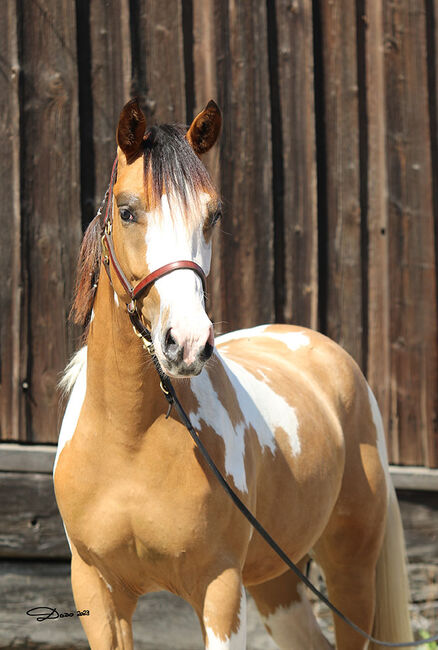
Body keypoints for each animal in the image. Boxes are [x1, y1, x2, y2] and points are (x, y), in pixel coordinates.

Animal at [53, 98, 412, 644]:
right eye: (127, 210)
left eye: (213, 214)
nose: (186, 343)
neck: (129, 438)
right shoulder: (97, 592)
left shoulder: (219, 589)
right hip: (277, 580)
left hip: (351, 571)